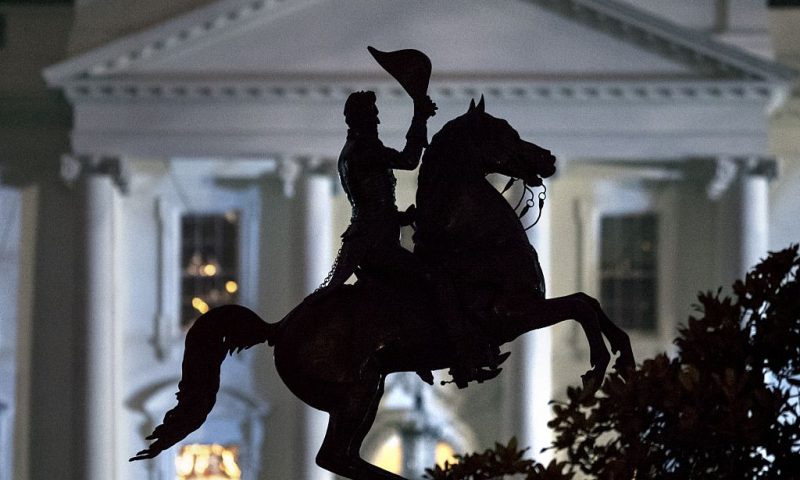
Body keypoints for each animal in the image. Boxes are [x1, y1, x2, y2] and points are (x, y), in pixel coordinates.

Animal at [131, 97, 632, 480]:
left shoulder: (522, 316)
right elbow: (581, 306)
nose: (549, 159)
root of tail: (280, 328)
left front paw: (622, 361)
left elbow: (593, 305)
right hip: (355, 392)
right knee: (332, 456)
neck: (478, 239)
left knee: (343, 457)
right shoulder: (513, 315)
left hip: (367, 388)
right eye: (503, 131)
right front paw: (595, 371)